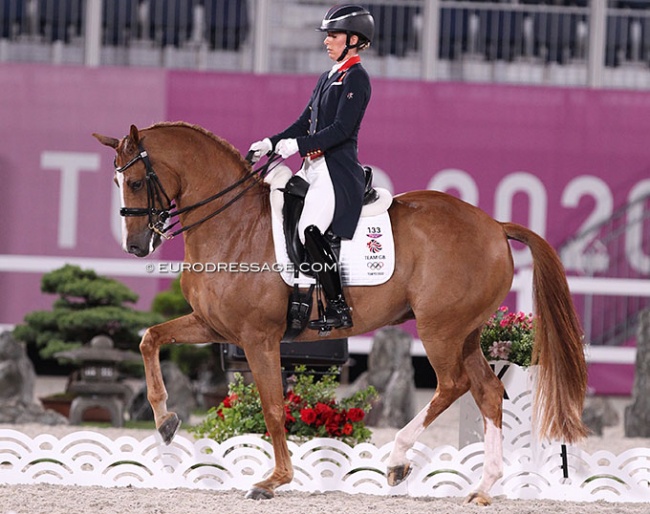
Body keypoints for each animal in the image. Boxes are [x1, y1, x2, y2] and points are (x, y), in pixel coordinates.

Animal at [92, 122, 588, 502]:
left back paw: (398, 460)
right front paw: (165, 421)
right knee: (486, 391)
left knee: (454, 384)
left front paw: (275, 480)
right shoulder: (214, 325)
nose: (136, 246)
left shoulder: (257, 337)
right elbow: (150, 338)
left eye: (135, 182)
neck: (233, 224)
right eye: (115, 183)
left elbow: (274, 406)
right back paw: (483, 488)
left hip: (440, 330)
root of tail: (494, 226)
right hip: (466, 332)